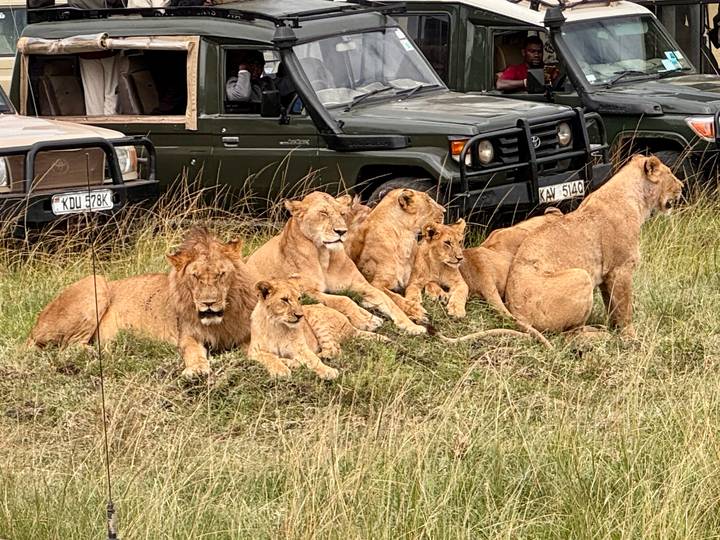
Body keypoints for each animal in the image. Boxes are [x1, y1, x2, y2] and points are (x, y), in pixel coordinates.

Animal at [28, 227, 258, 377]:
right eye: (195, 276)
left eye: (221, 274)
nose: (208, 303)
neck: (221, 320)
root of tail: (34, 327)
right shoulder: (187, 334)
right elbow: (192, 351)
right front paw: (197, 370)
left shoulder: (244, 335)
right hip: (97, 281)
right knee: (69, 346)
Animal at [245, 191, 427, 335]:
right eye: (323, 212)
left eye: (342, 213)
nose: (341, 231)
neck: (324, 256)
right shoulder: (306, 291)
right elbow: (342, 300)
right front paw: (364, 321)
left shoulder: (362, 285)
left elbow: (389, 301)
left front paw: (411, 325)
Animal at [248, 278, 387, 380]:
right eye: (285, 300)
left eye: (299, 298)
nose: (300, 316)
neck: (277, 326)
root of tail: (351, 325)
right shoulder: (254, 351)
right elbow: (269, 358)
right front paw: (280, 371)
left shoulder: (301, 348)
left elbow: (313, 360)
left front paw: (328, 371)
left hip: (318, 319)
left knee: (333, 350)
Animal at [505, 154, 683, 336]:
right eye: (670, 173)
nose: (682, 186)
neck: (638, 201)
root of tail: (518, 316)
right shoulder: (621, 269)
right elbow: (625, 307)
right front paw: (630, 336)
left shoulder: (607, 275)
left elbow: (612, 307)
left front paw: (616, 329)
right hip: (581, 275)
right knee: (570, 335)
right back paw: (600, 334)